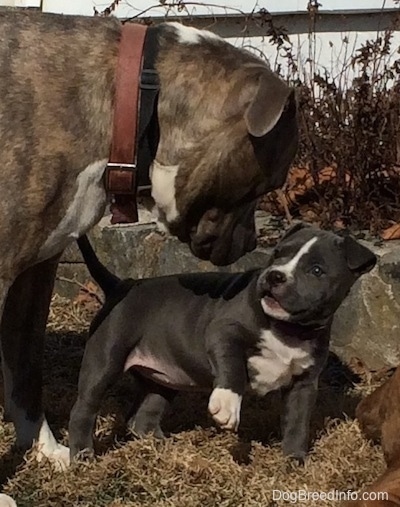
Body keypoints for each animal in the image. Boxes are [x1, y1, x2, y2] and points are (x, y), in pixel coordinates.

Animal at [69, 224, 376, 462]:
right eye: (278, 253)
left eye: (316, 270)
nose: (274, 275)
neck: (288, 329)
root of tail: (123, 284)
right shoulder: (223, 332)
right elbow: (234, 368)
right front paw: (226, 405)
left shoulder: (304, 384)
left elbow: (298, 423)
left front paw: (294, 460)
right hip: (106, 359)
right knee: (84, 408)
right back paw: (83, 455)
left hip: (163, 378)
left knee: (144, 415)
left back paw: (164, 447)